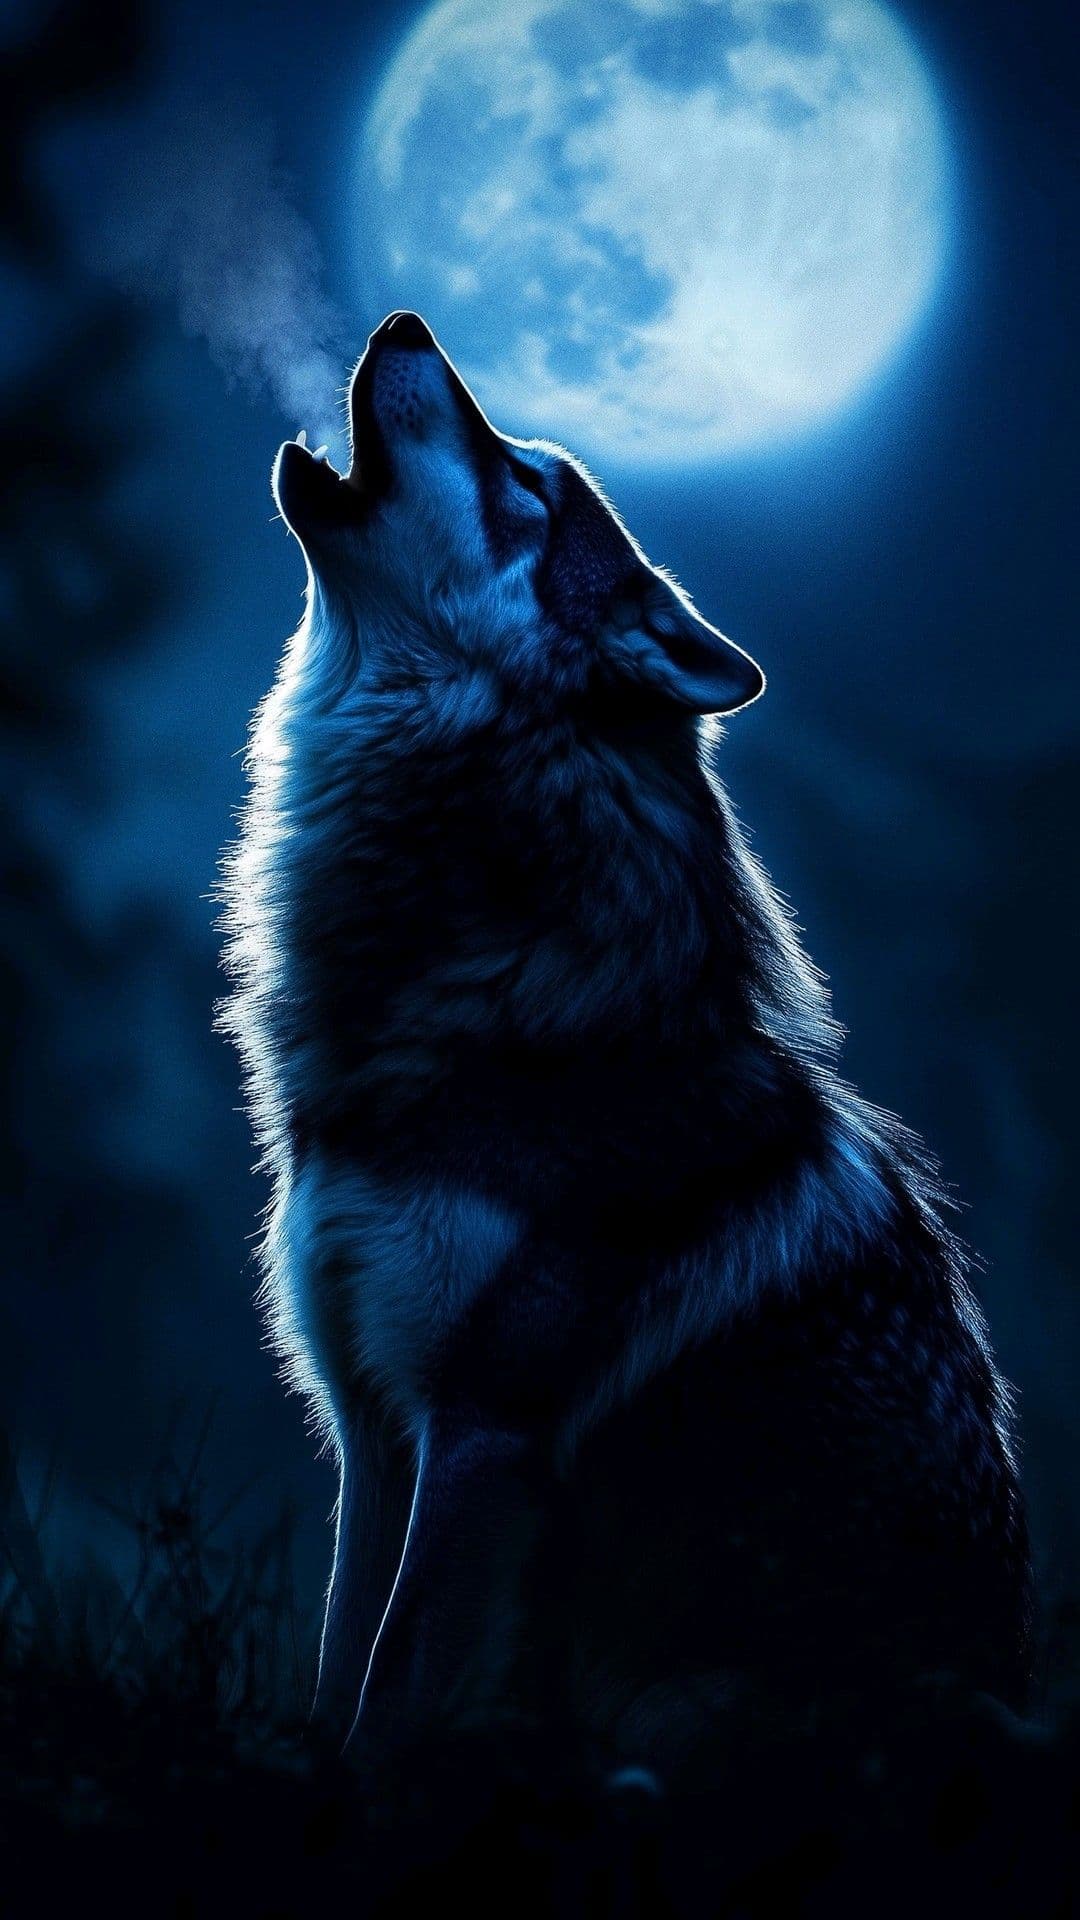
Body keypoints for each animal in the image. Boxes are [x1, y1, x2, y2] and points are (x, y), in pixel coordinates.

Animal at [219, 310, 1031, 1767]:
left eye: (528, 487)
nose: (405, 321)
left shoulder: (482, 1433)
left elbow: (391, 1696)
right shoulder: (374, 1431)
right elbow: (337, 1674)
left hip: (694, 1699)